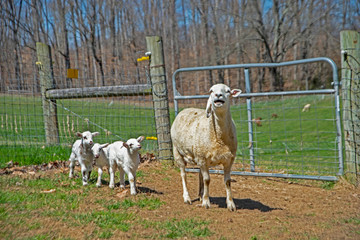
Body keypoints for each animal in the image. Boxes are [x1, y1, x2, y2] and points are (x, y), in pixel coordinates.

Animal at [169, 83, 240, 211]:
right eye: (211, 91)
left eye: (228, 91)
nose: (218, 95)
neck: (219, 138)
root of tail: (186, 109)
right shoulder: (202, 158)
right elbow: (207, 180)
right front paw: (206, 202)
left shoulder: (229, 160)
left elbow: (227, 181)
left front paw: (231, 204)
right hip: (178, 151)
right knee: (183, 174)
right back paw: (187, 197)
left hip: (199, 155)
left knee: (200, 174)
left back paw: (200, 195)